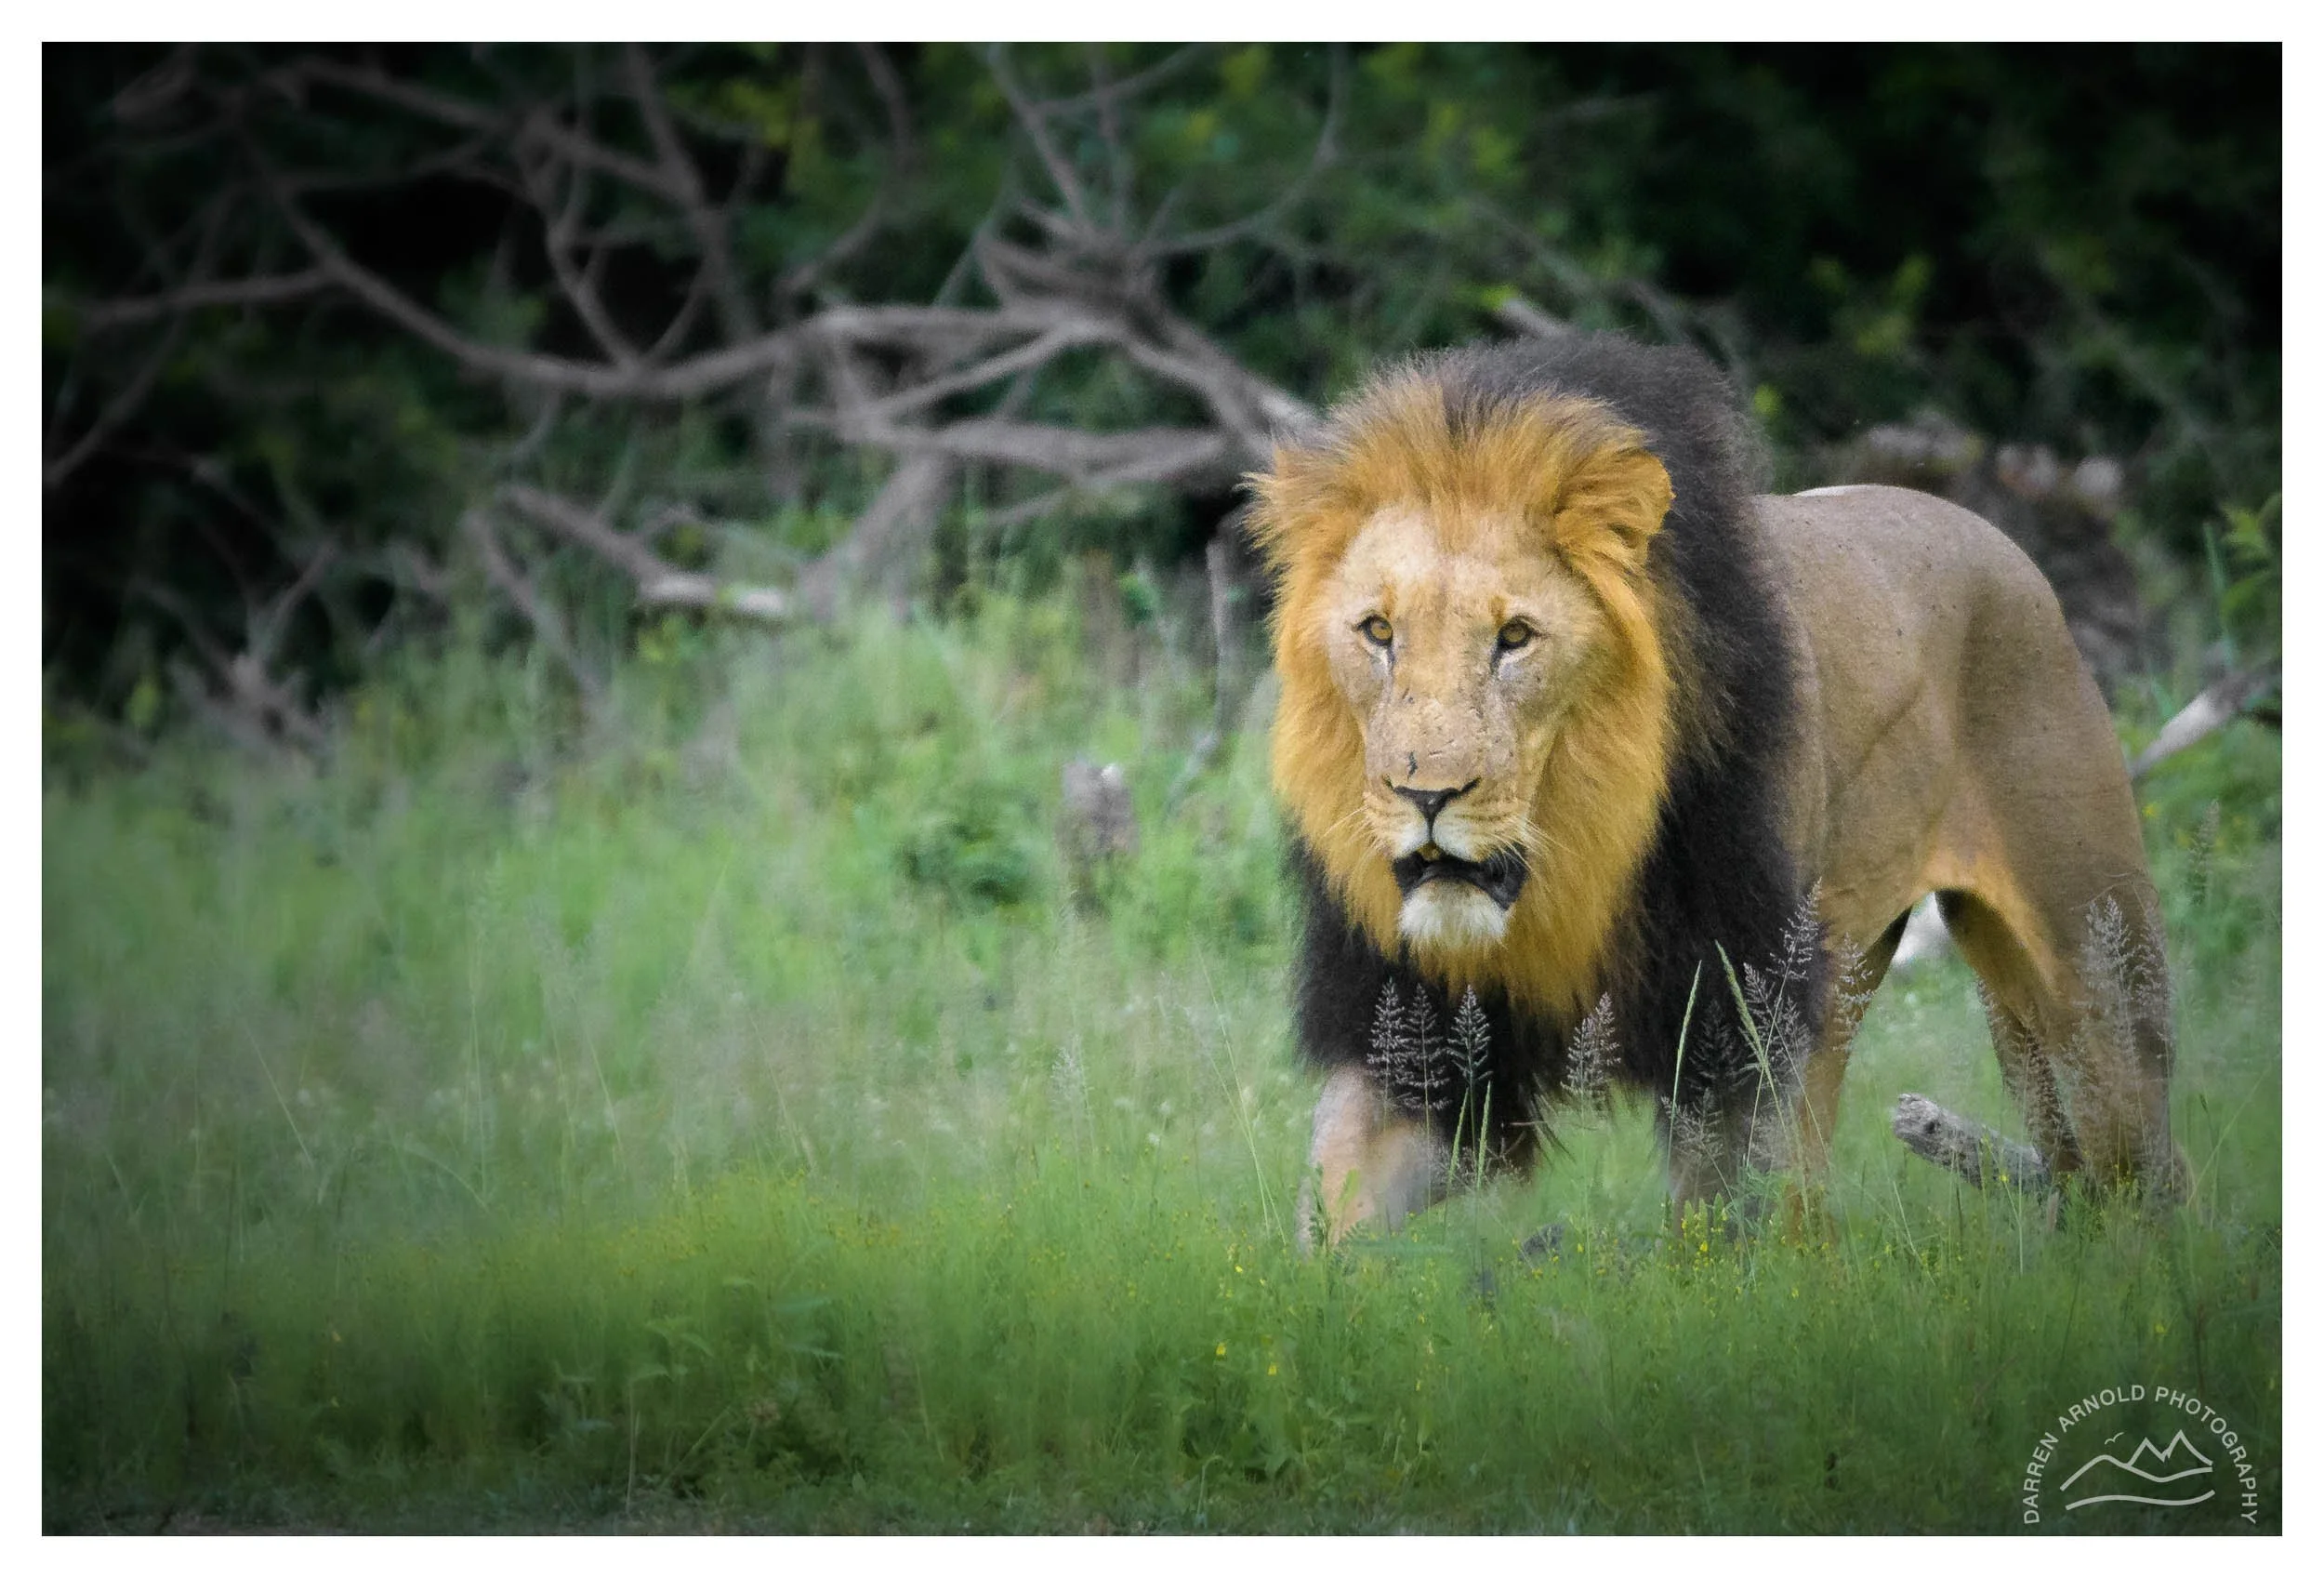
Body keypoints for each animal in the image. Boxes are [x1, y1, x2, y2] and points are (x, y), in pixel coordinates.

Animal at [1248, 335, 2181, 1246]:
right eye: (1379, 631)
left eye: (1515, 638)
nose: (1427, 794)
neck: (1573, 868)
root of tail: (2005, 546)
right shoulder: (1421, 1043)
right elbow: (1328, 1216)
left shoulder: (1739, 1029)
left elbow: (1724, 1224)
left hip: (2092, 973)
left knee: (2142, 1156)